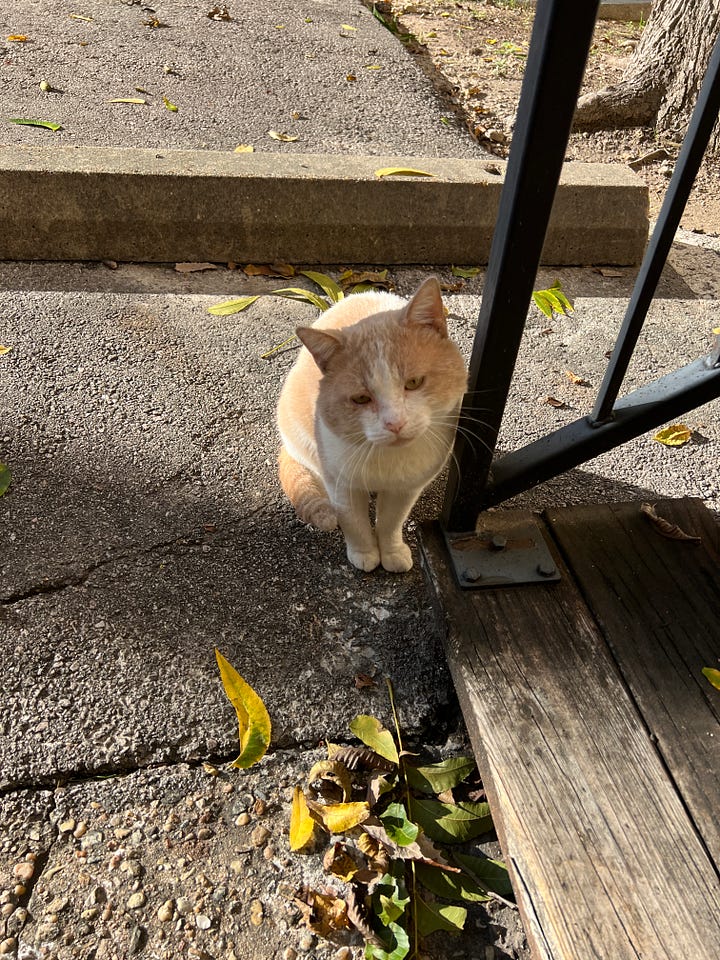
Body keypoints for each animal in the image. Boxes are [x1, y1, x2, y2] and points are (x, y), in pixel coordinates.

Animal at [276, 277, 467, 572]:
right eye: (361, 399)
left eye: (414, 382)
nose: (394, 423)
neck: (387, 461)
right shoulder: (341, 484)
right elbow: (354, 523)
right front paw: (364, 552)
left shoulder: (406, 489)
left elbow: (390, 522)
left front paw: (391, 551)